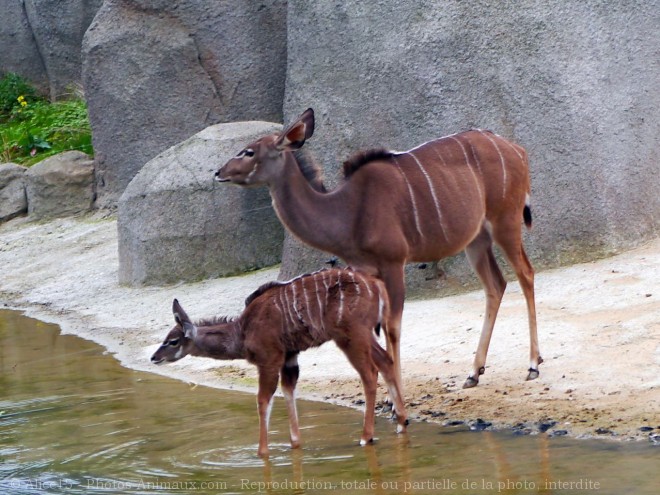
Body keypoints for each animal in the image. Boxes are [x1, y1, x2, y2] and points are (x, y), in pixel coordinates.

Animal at [151, 270, 408, 460]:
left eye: (173, 341)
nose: (154, 357)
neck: (242, 331)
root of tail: (376, 286)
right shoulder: (289, 357)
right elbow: (288, 390)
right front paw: (295, 443)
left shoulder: (269, 358)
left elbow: (263, 400)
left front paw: (262, 453)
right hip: (362, 337)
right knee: (386, 361)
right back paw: (401, 423)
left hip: (350, 337)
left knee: (369, 372)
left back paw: (366, 437)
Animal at [217, 109, 540, 392]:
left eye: (248, 151)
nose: (219, 172)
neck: (347, 210)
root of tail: (518, 150)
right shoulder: (367, 271)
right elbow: (378, 329)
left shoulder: (394, 262)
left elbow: (392, 327)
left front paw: (394, 402)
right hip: (476, 240)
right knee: (495, 285)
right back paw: (473, 373)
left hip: (505, 222)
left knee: (526, 273)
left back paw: (533, 365)